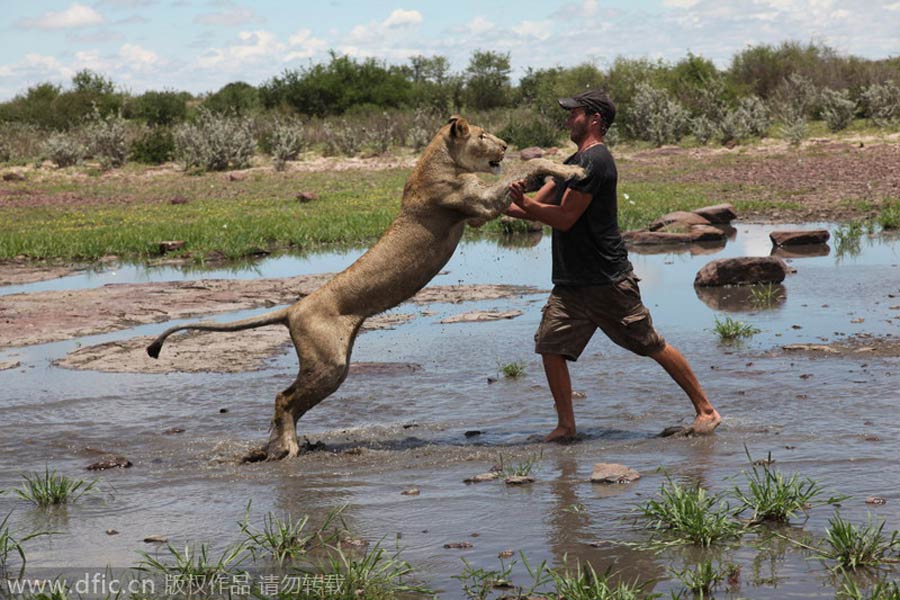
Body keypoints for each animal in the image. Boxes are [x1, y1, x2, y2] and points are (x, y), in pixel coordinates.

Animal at [148, 116, 584, 460]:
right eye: (482, 134)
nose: (507, 144)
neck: (439, 160)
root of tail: (293, 308)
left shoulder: (480, 210)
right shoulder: (478, 207)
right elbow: (528, 168)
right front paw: (572, 171)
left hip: (331, 368)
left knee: (289, 402)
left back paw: (278, 445)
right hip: (328, 364)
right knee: (283, 398)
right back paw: (286, 448)